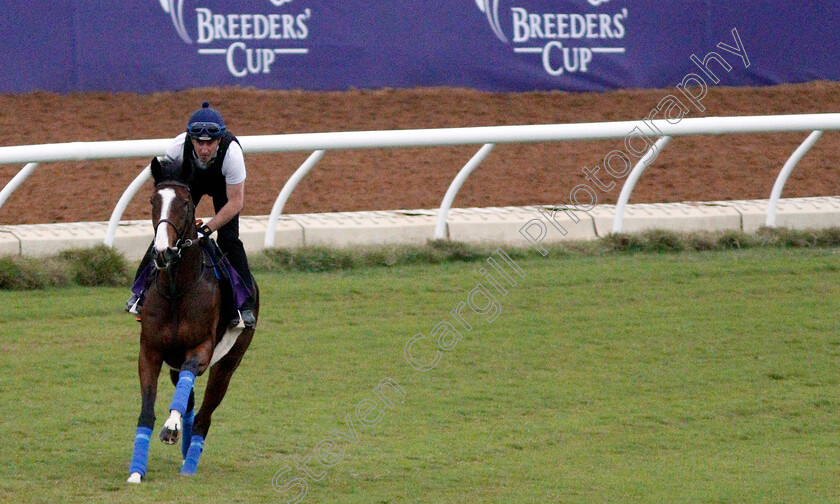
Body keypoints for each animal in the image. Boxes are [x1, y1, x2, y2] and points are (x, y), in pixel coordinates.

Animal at [127, 158, 260, 484]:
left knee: (203, 417)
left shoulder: (201, 351)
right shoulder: (150, 352)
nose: (163, 252)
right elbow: (147, 411)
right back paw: (185, 447)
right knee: (188, 400)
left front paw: (171, 427)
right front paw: (136, 471)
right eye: (153, 201)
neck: (178, 289)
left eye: (185, 203)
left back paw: (189, 463)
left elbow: (188, 381)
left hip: (227, 365)